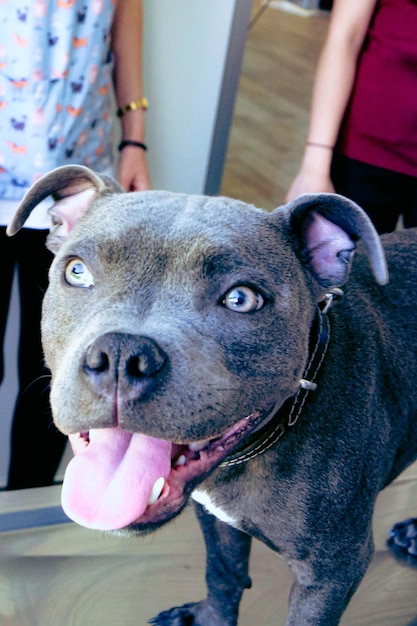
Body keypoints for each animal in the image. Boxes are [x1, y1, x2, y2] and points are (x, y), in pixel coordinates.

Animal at [8, 163, 416, 620]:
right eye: (77, 272)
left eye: (242, 299)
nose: (122, 354)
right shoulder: (214, 518)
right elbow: (223, 574)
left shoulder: (332, 572)